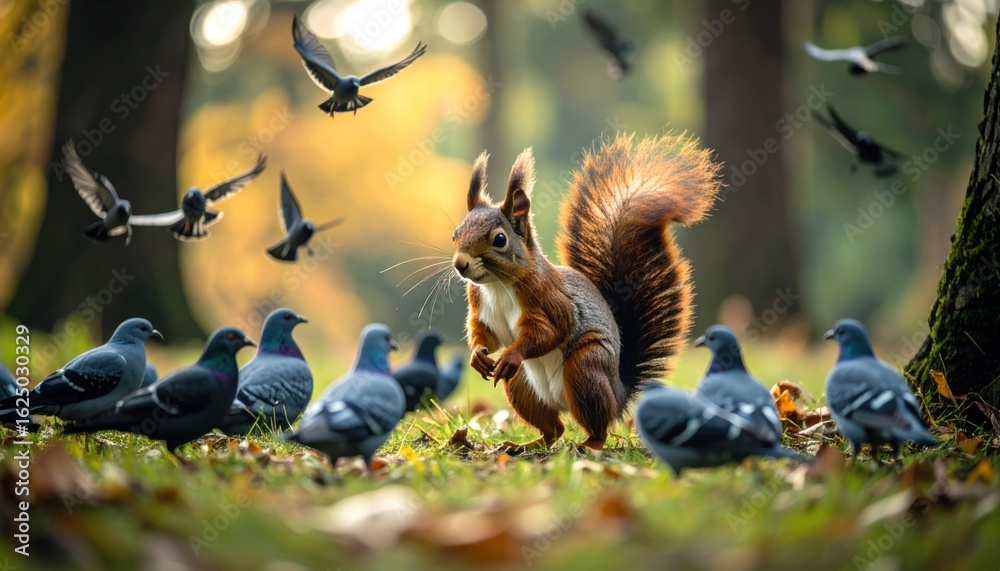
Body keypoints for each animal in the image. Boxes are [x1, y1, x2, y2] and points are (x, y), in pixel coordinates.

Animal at [451, 133, 721, 451]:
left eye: (500, 239)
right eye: (456, 233)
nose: (460, 264)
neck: (497, 285)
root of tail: (618, 394)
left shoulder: (548, 298)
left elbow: (552, 330)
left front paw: (511, 354)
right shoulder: (480, 304)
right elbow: (486, 334)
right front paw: (477, 356)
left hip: (586, 368)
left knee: (596, 426)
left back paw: (588, 444)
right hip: (522, 386)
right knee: (553, 430)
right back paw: (522, 446)